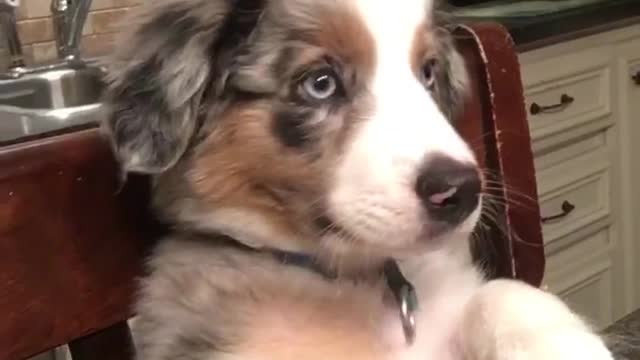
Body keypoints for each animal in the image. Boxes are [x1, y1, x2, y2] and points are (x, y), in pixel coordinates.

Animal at [101, 1, 616, 358]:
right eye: (320, 83)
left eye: (427, 72)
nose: (462, 191)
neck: (362, 279)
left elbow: (502, 292)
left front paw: (569, 345)